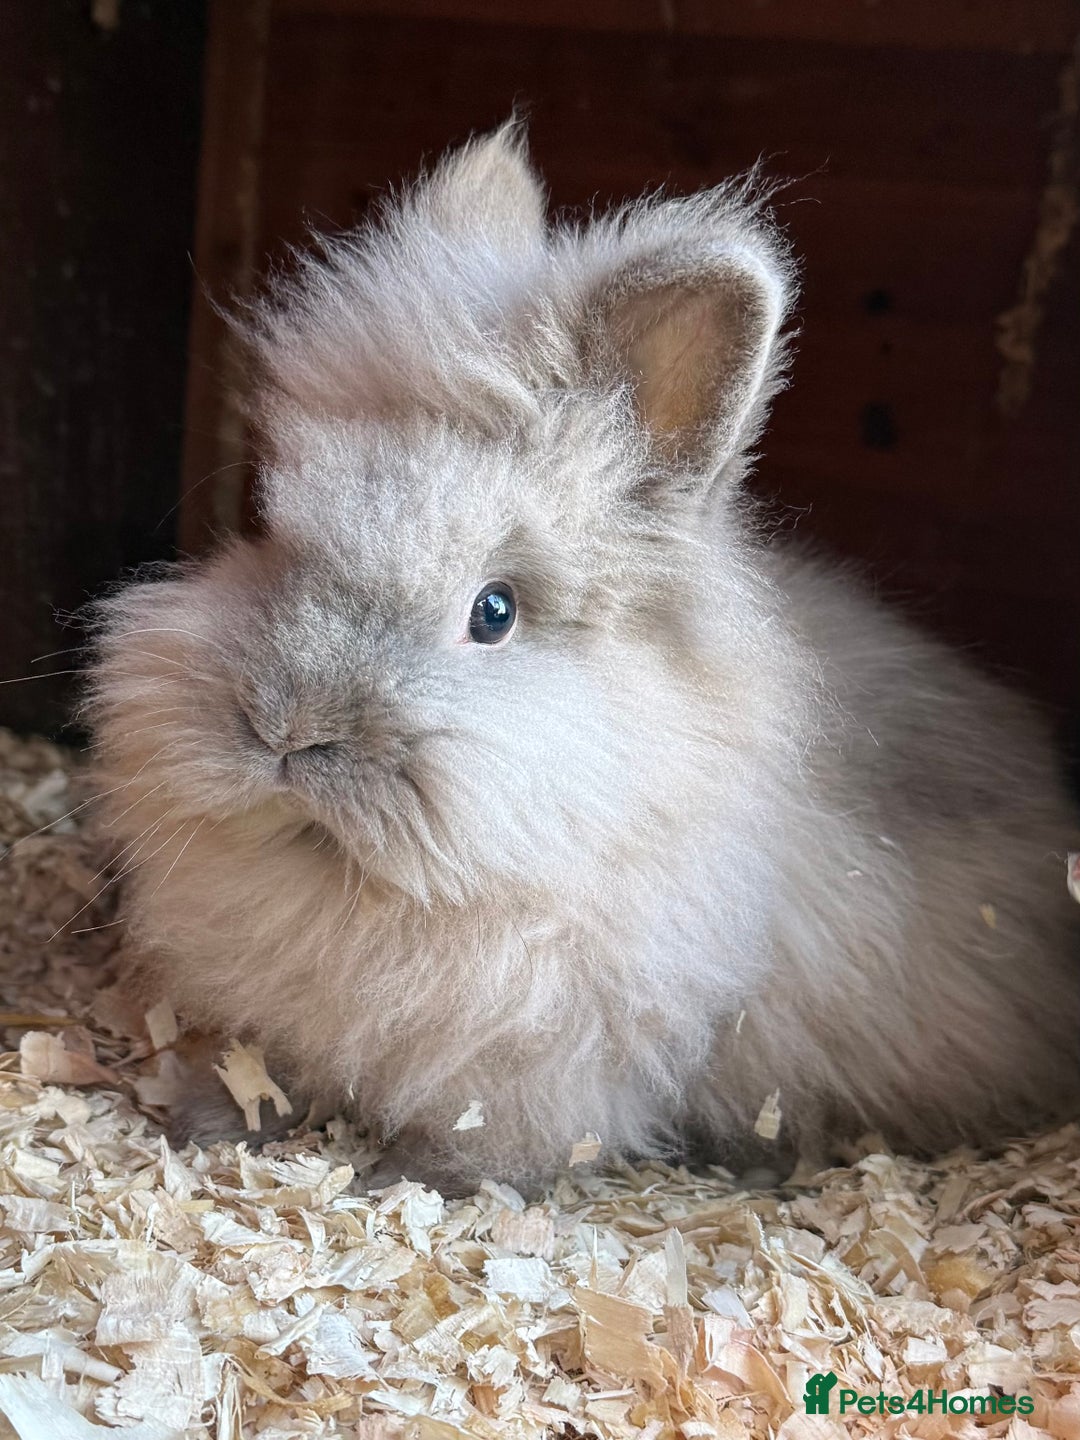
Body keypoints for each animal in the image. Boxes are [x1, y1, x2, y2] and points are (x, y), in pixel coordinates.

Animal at [88, 122, 1080, 1195]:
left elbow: (487, 1140)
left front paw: (410, 1182)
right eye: (271, 532)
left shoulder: (549, 1062)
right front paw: (211, 1120)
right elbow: (263, 1071)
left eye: (494, 611)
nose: (286, 728)